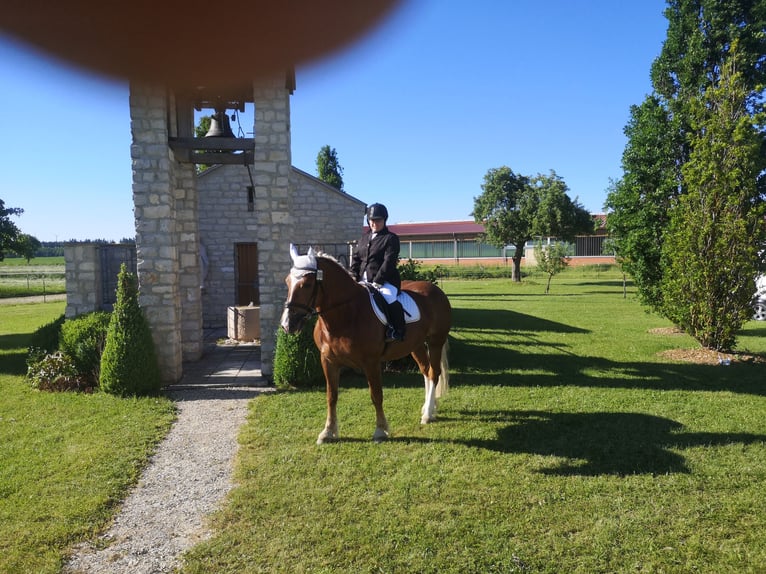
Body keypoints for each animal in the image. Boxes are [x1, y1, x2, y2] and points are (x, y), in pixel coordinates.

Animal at [280, 244, 450, 446]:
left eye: (306, 284)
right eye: (287, 281)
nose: (288, 324)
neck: (346, 314)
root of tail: (435, 289)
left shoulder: (371, 362)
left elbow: (376, 395)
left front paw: (380, 430)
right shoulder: (328, 361)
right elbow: (331, 396)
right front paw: (328, 432)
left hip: (435, 341)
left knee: (434, 373)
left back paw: (428, 414)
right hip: (415, 345)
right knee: (426, 371)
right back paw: (427, 409)